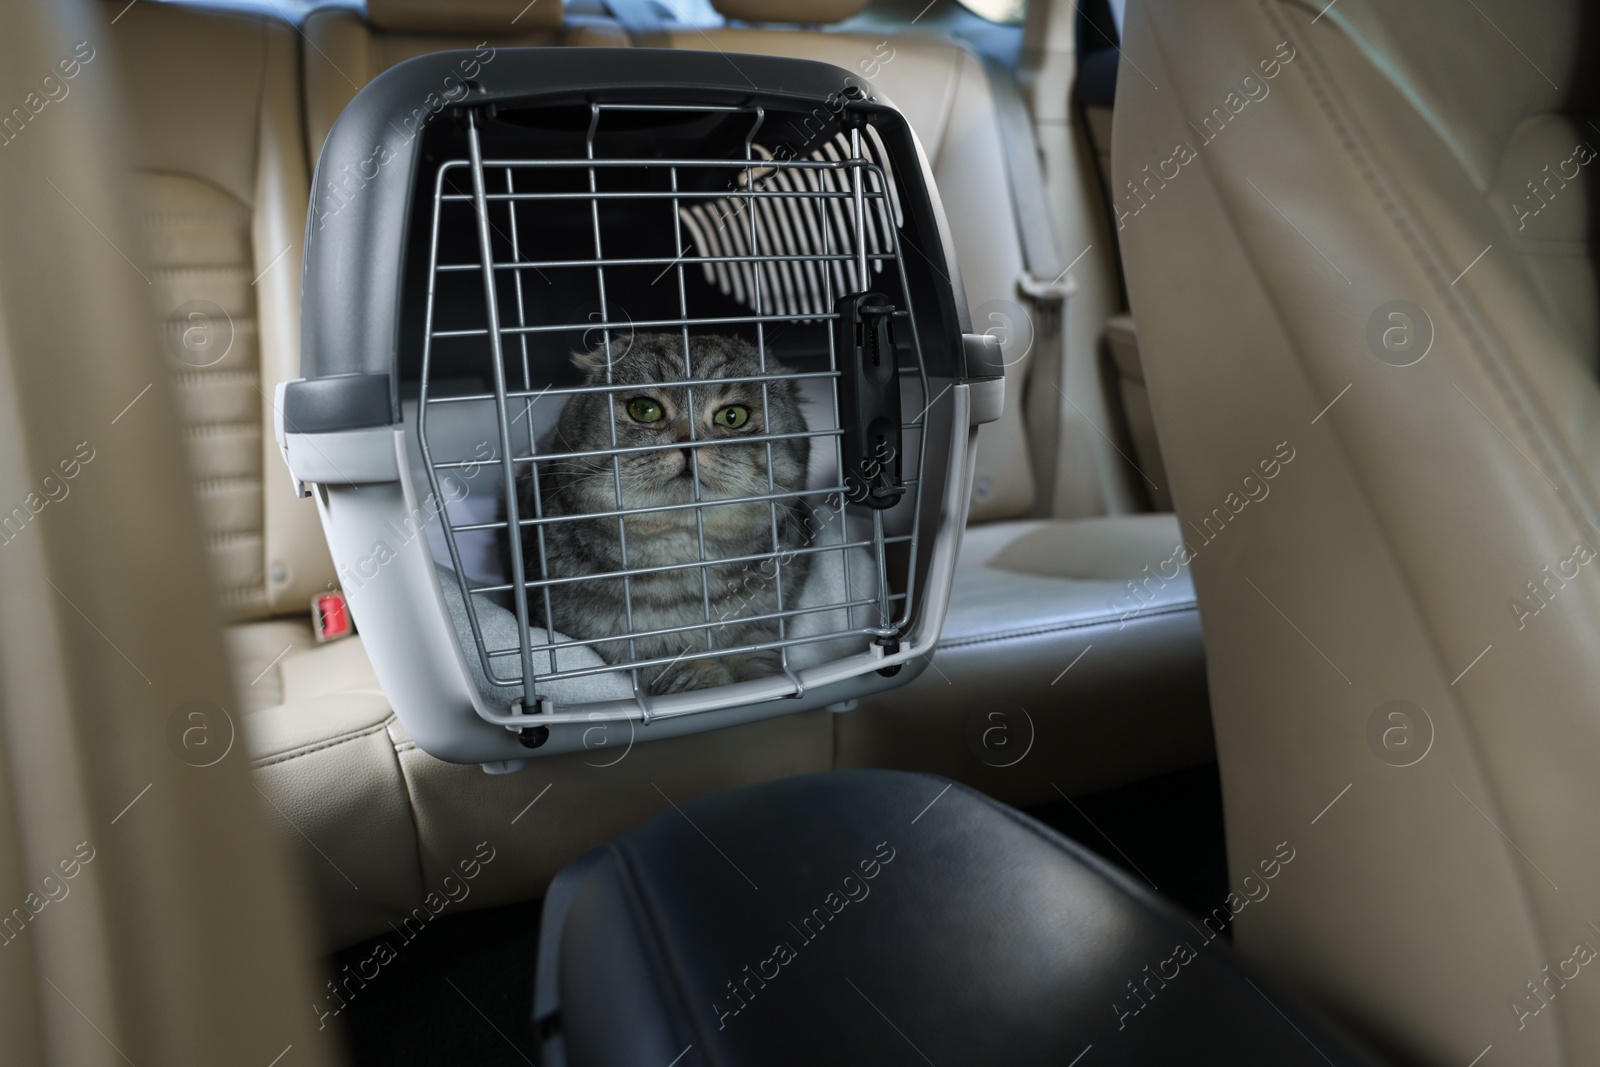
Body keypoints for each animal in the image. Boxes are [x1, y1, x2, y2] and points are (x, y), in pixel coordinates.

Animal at [512, 335, 812, 700]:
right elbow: (685, 670)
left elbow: (759, 667)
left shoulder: (762, 629)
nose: (688, 444)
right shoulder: (629, 648)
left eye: (732, 416)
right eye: (645, 410)